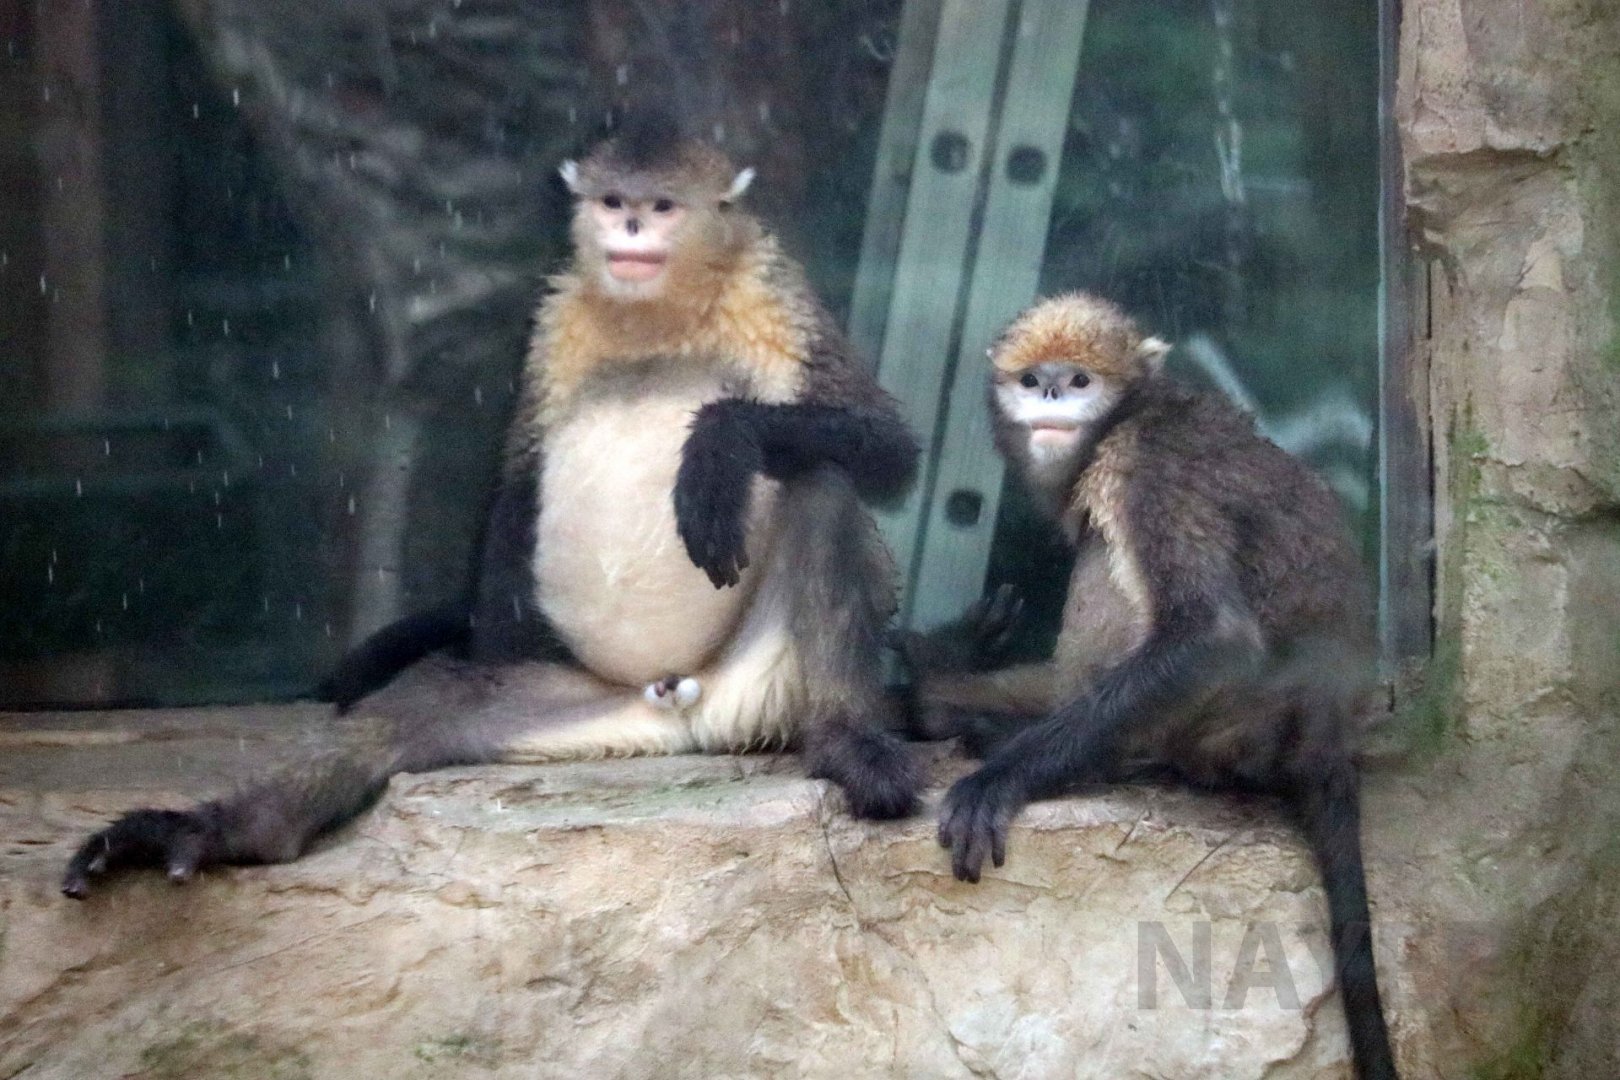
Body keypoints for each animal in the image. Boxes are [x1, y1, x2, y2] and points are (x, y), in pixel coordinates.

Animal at [62, 116, 923, 899]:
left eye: (662, 205)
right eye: (614, 201)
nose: (631, 227)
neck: (660, 315)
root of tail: (676, 701)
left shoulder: (774, 295)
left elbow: (888, 446)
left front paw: (718, 444)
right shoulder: (558, 319)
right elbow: (517, 475)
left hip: (768, 684)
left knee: (820, 479)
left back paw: (848, 743)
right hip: (575, 701)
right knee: (412, 711)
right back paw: (228, 829)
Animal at [901, 293, 1399, 1080]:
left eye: (1079, 380)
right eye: (1034, 379)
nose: (1050, 396)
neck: (1131, 416)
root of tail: (1328, 729)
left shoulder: (1146, 469)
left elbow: (1213, 636)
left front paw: (998, 780)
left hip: (1227, 728)